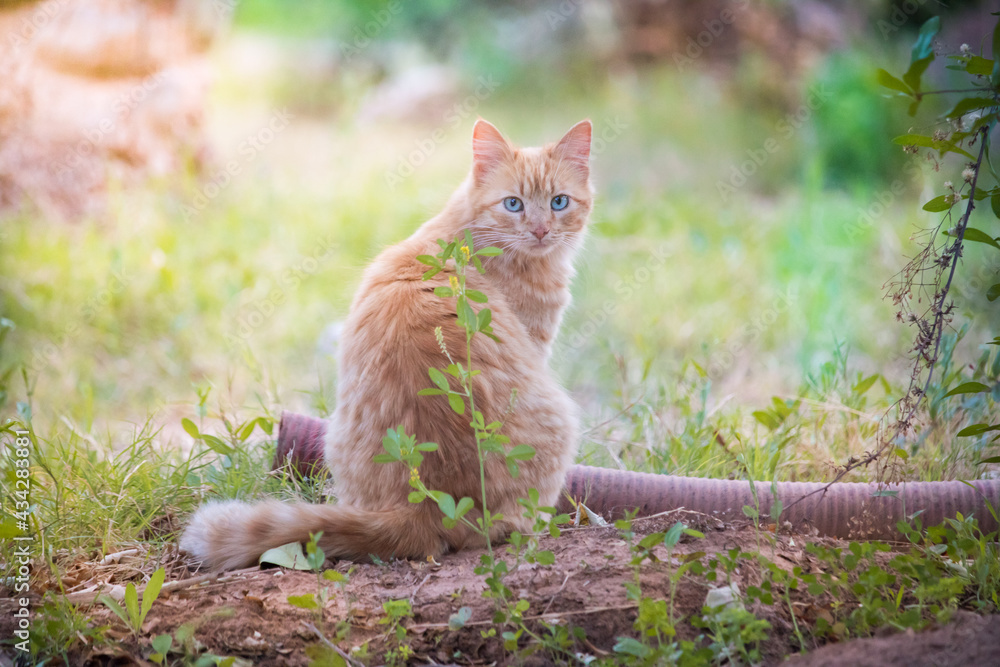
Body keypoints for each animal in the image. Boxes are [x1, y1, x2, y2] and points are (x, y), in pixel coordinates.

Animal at [181, 118, 592, 568]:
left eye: (558, 202)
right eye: (513, 204)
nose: (540, 230)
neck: (472, 237)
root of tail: (425, 504)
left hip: (333, 438)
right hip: (561, 420)